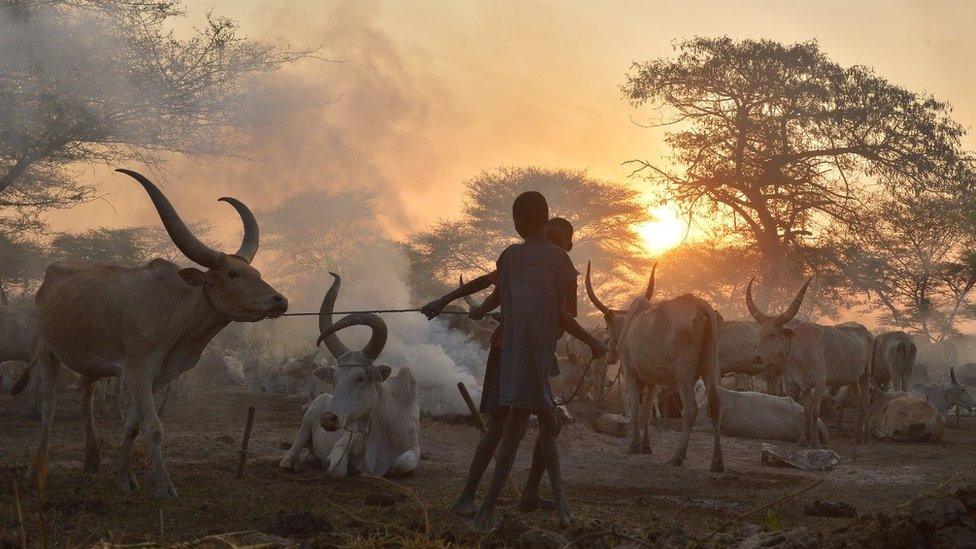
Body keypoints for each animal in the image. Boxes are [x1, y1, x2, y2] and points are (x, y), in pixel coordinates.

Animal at [27, 169, 286, 498]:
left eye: (257, 274)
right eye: (233, 274)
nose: (280, 300)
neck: (175, 313)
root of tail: (51, 274)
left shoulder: (158, 376)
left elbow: (133, 426)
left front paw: (125, 478)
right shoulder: (138, 371)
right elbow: (154, 427)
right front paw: (163, 486)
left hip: (89, 363)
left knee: (86, 400)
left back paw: (92, 460)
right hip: (47, 351)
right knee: (48, 409)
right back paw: (37, 468)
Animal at [294, 272, 420, 476]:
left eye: (360, 378)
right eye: (334, 379)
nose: (328, 418)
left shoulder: (413, 452)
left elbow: (402, 463)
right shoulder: (344, 442)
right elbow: (336, 468)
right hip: (307, 419)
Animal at [584, 262, 720, 470]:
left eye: (607, 327)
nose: (611, 355)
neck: (629, 324)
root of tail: (702, 308)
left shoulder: (631, 375)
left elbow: (636, 411)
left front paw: (634, 446)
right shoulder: (653, 380)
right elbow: (647, 413)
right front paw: (646, 447)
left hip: (684, 373)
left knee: (691, 409)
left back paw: (677, 456)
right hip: (709, 367)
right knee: (715, 406)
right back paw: (717, 462)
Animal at [744, 278, 872, 446]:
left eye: (772, 334)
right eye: (759, 334)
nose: (757, 357)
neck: (800, 349)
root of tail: (867, 331)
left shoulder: (820, 382)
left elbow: (815, 411)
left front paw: (815, 442)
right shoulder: (803, 384)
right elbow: (806, 410)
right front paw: (804, 440)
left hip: (866, 376)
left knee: (865, 403)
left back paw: (864, 438)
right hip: (853, 380)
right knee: (860, 403)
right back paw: (856, 437)